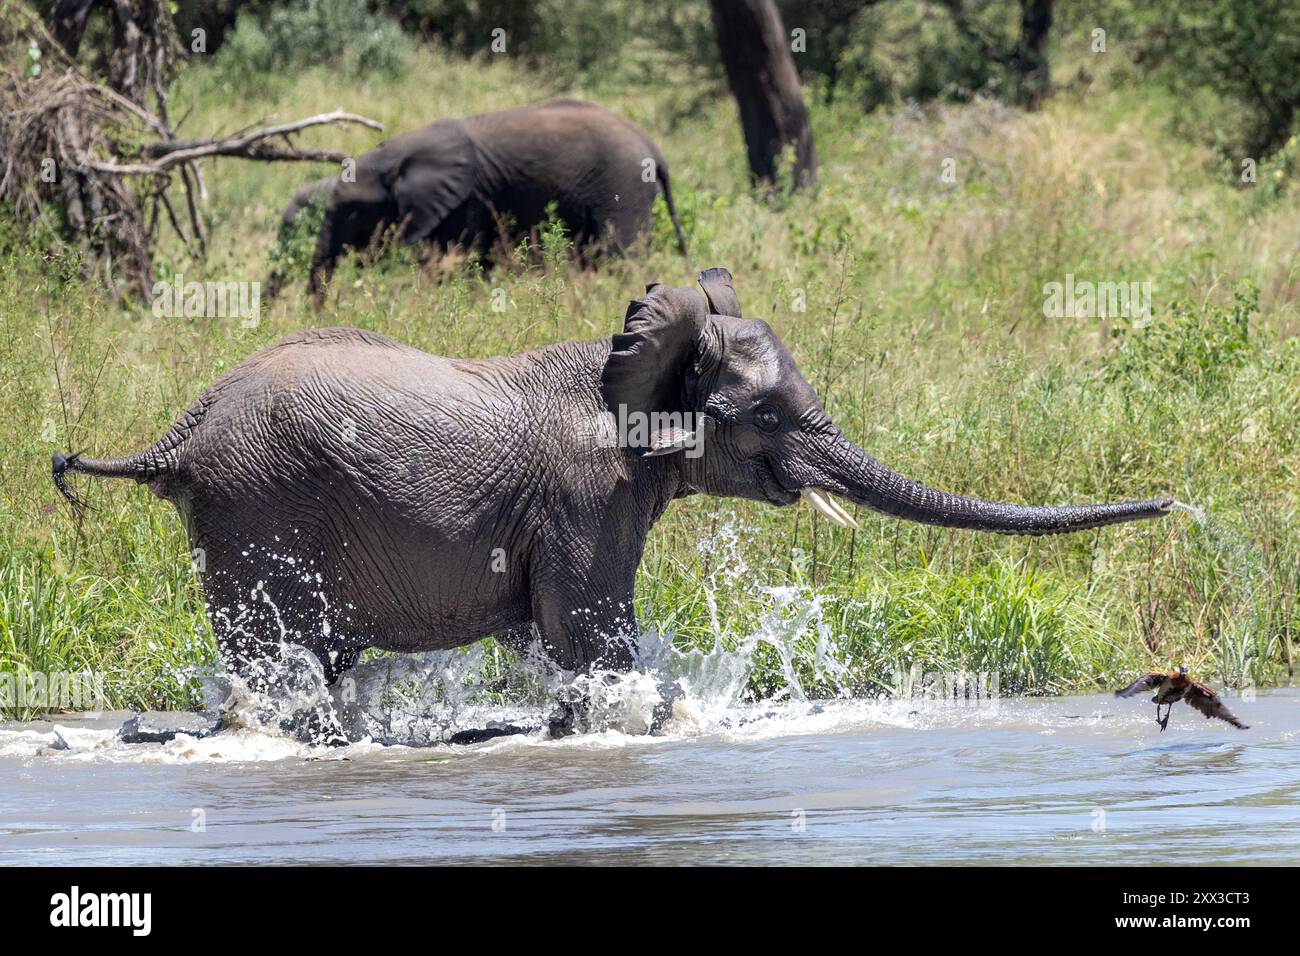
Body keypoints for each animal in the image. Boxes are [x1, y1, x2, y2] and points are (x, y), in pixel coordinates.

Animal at [53, 268, 1172, 735]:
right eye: (766, 413)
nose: (1171, 505)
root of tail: (181, 430)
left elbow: (557, 640)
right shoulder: (587, 494)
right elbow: (588, 630)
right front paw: (657, 719)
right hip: (257, 505)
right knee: (273, 653)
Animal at [273, 99, 688, 302]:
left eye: (352, 210)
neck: (396, 155)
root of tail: (654, 147)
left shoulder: (463, 200)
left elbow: (454, 262)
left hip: (623, 189)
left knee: (621, 258)